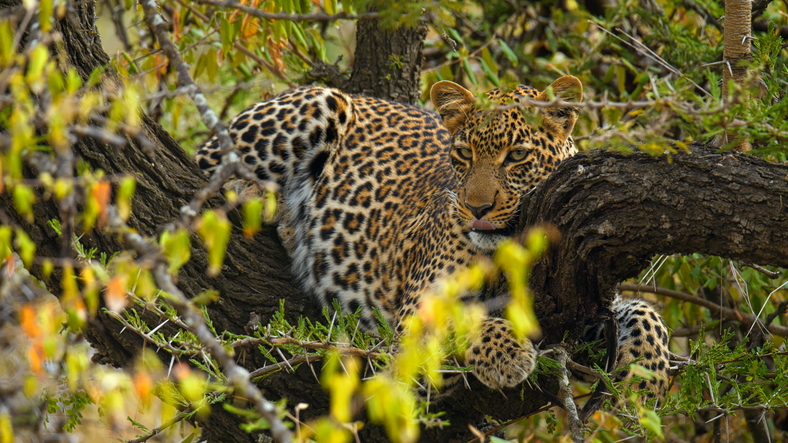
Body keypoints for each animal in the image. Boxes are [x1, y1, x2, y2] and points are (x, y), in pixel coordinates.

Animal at [195, 76, 670, 400]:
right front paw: (506, 355)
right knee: (210, 163)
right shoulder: (417, 310)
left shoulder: (587, 296)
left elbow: (645, 312)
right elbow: (468, 316)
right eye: (463, 154)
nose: (476, 208)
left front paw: (646, 382)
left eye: (517, 156)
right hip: (320, 104)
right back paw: (258, 195)